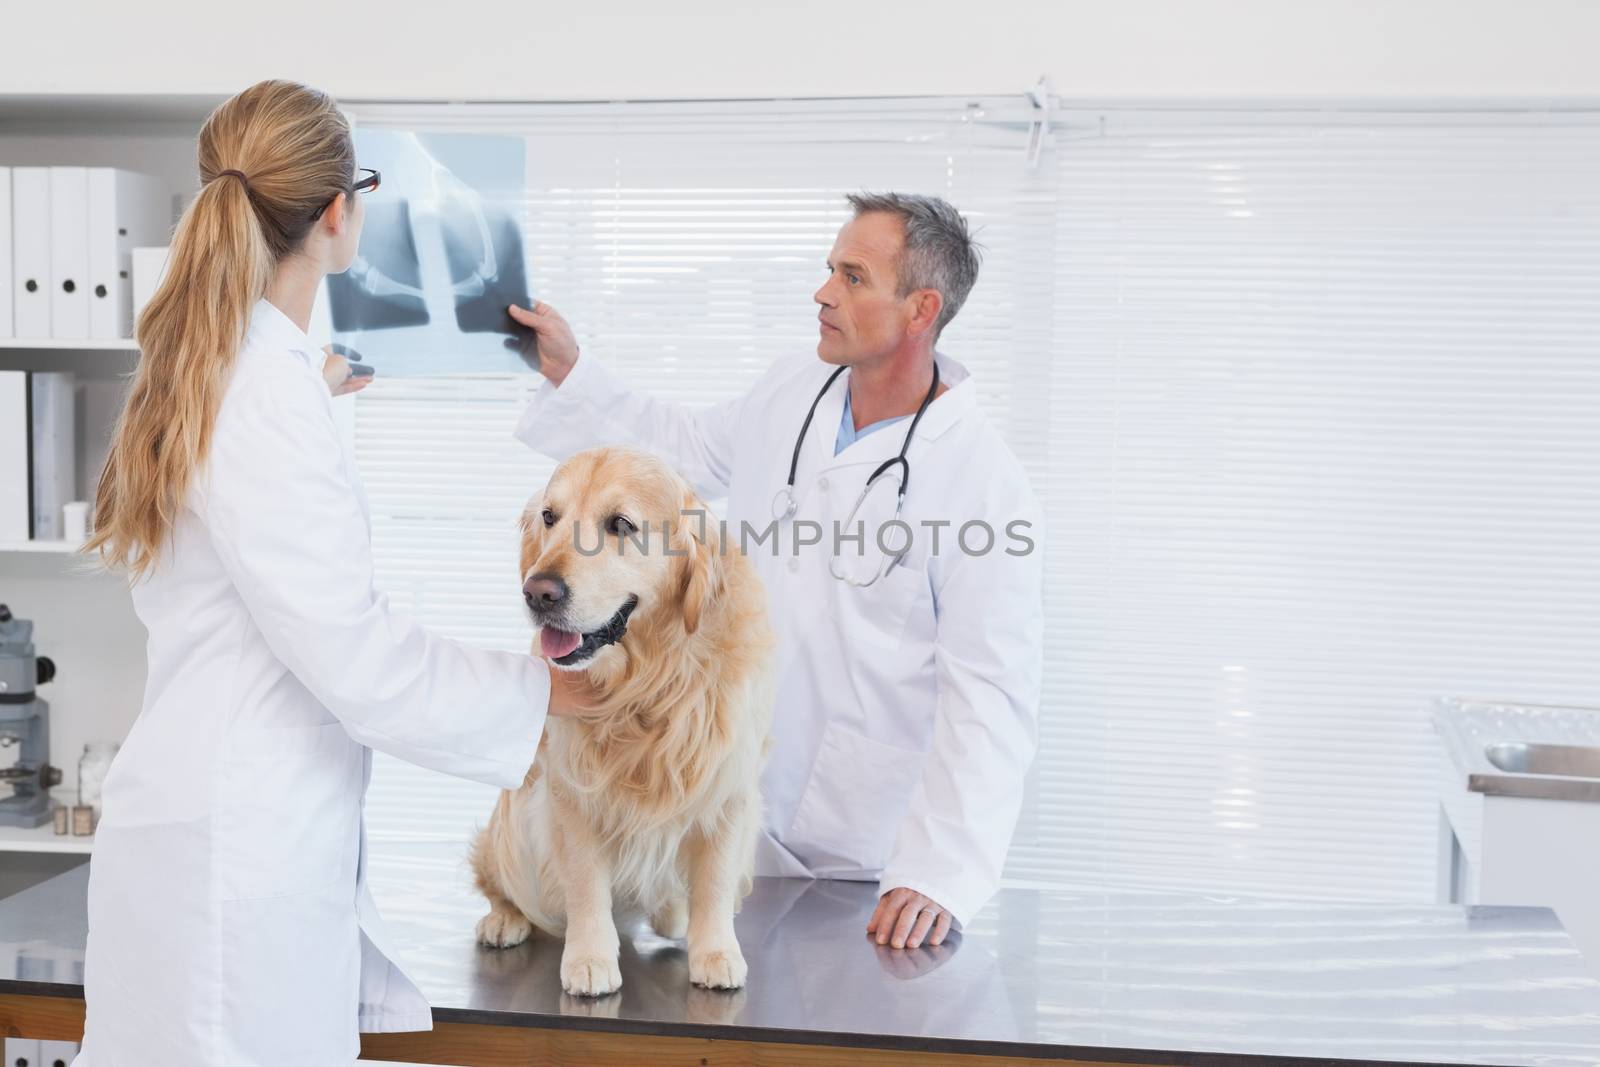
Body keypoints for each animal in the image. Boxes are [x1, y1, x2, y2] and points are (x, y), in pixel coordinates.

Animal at [467, 447, 774, 998]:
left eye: (620, 525)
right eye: (550, 517)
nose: (537, 593)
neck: (649, 680)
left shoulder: (729, 789)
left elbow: (716, 882)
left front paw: (716, 952)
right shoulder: (572, 792)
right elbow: (586, 884)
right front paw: (590, 959)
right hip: (510, 826)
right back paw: (505, 918)